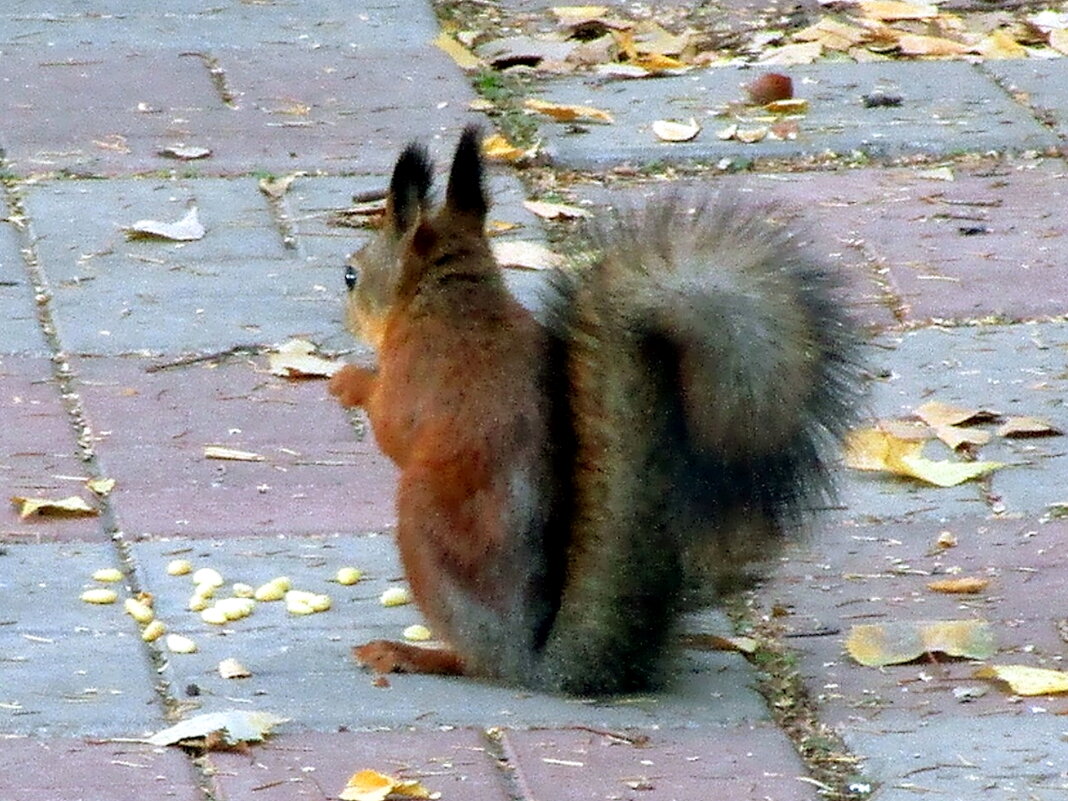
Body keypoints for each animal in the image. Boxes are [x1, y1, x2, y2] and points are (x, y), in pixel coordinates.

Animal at [324, 125, 858, 696]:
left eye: (351, 276)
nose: (346, 320)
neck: (454, 303)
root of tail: (532, 660)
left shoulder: (417, 377)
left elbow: (393, 430)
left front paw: (351, 382)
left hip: (422, 527)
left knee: (477, 664)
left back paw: (410, 653)